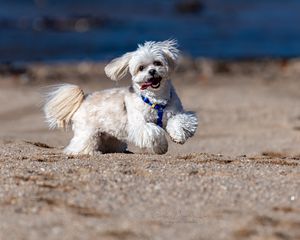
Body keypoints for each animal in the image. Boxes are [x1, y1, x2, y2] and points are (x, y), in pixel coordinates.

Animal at [42, 40, 197, 155]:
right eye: (141, 68)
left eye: (157, 63)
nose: (152, 71)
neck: (156, 99)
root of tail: (84, 99)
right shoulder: (140, 125)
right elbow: (154, 133)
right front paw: (161, 147)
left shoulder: (176, 112)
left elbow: (179, 122)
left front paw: (178, 136)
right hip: (87, 132)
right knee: (80, 144)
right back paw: (86, 152)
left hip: (110, 135)